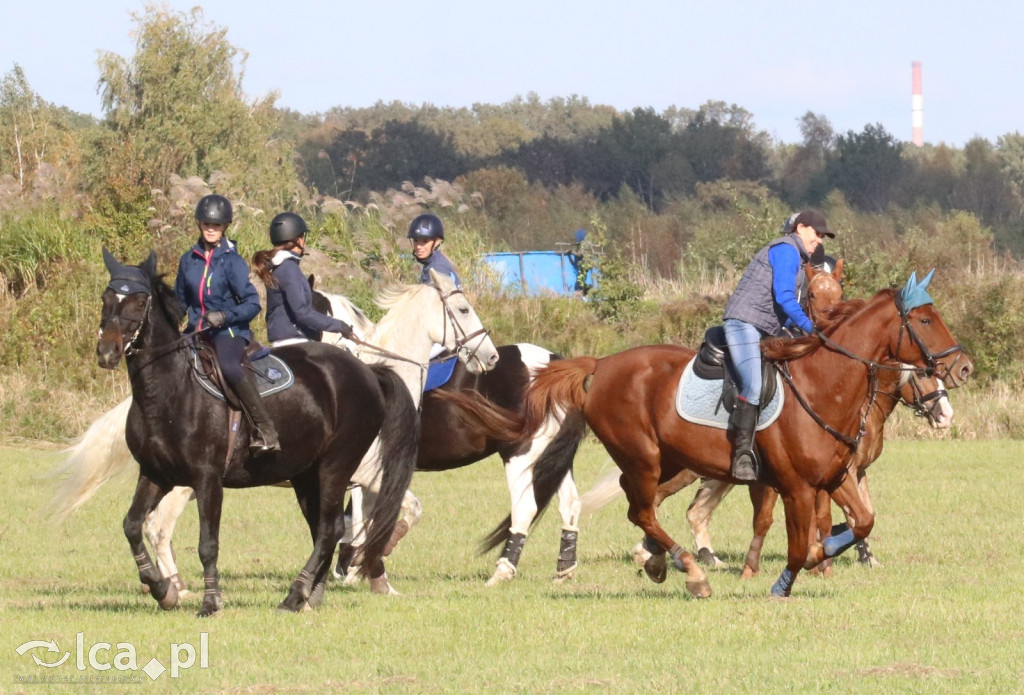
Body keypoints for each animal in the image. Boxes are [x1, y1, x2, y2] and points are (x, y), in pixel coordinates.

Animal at [516, 276, 970, 597]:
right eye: (925, 320)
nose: (963, 367)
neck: (826, 386)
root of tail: (601, 364)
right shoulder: (796, 487)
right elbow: (796, 542)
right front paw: (784, 580)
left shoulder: (837, 476)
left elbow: (862, 521)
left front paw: (825, 555)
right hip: (645, 458)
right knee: (643, 510)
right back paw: (691, 571)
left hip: (669, 462)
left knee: (647, 507)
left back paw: (659, 561)